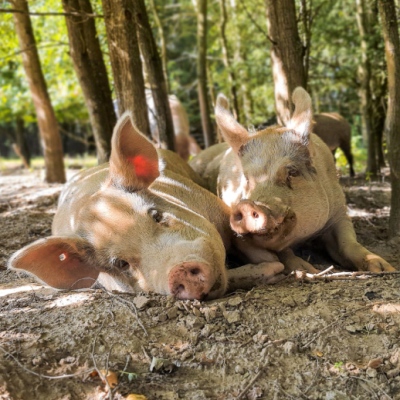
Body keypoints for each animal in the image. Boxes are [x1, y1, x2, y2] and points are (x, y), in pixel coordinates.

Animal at [7, 112, 282, 300]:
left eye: (156, 215)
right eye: (120, 264)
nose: (179, 270)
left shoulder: (219, 210)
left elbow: (242, 238)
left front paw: (280, 264)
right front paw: (275, 268)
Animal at [189, 87, 396, 276]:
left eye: (292, 172)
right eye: (246, 178)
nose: (247, 206)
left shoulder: (340, 212)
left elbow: (348, 243)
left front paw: (384, 269)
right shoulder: (238, 234)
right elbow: (282, 252)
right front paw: (307, 270)